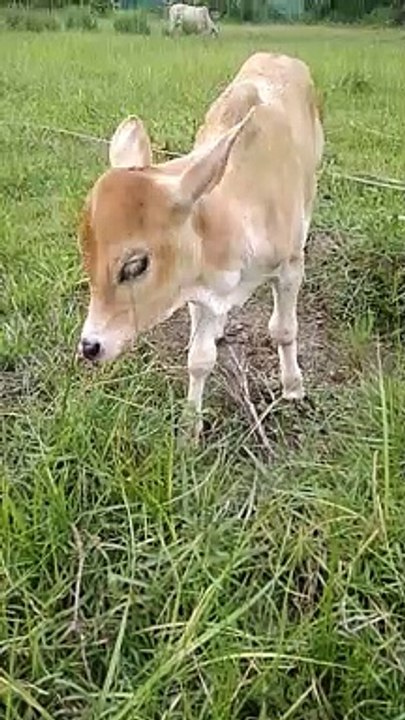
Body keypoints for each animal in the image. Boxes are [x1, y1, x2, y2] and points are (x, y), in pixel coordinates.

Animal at [76, 53, 324, 440]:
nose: (90, 346)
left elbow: (284, 330)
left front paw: (293, 388)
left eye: (135, 265)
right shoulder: (199, 291)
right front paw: (189, 429)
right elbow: (199, 360)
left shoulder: (290, 268)